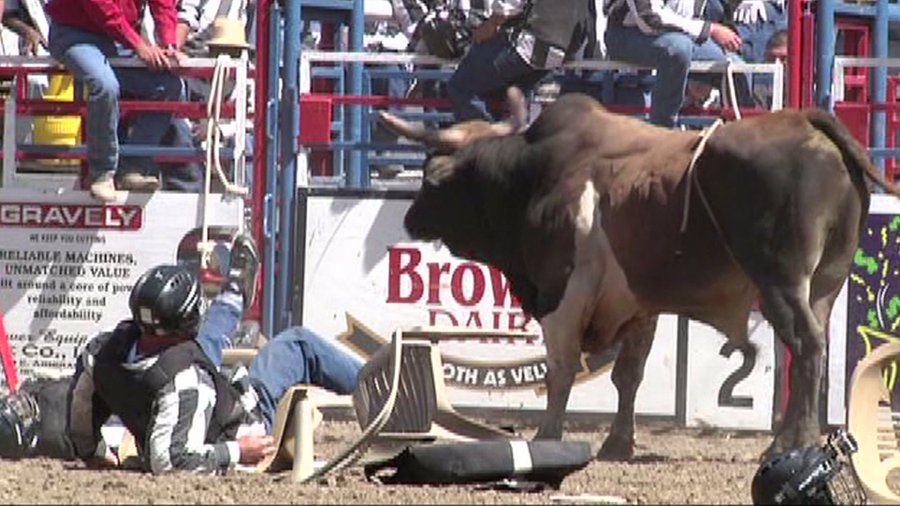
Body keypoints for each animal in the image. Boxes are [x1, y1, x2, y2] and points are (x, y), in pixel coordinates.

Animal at [380, 90, 900, 458]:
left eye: (429, 179)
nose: (410, 218)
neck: (534, 176)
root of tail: (806, 121)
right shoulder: (638, 305)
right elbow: (628, 375)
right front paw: (618, 441)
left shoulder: (562, 294)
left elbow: (561, 369)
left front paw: (548, 434)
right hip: (825, 283)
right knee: (816, 347)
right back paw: (796, 435)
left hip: (781, 282)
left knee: (806, 345)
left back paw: (792, 440)